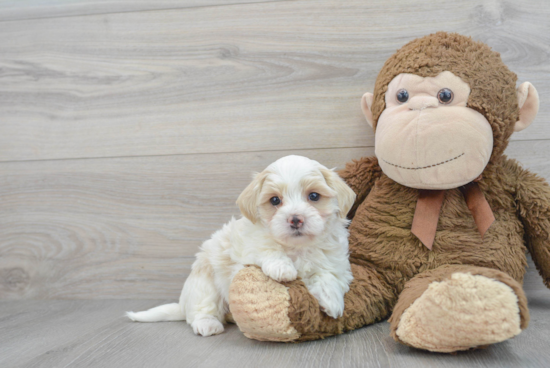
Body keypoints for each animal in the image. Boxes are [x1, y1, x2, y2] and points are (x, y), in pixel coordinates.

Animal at [127, 155, 356, 336]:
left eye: (314, 196)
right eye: (275, 200)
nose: (295, 219)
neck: (297, 248)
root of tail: (182, 305)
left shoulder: (336, 261)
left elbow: (328, 275)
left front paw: (332, 301)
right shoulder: (246, 246)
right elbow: (265, 248)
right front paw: (282, 267)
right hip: (204, 284)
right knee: (200, 310)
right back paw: (207, 324)